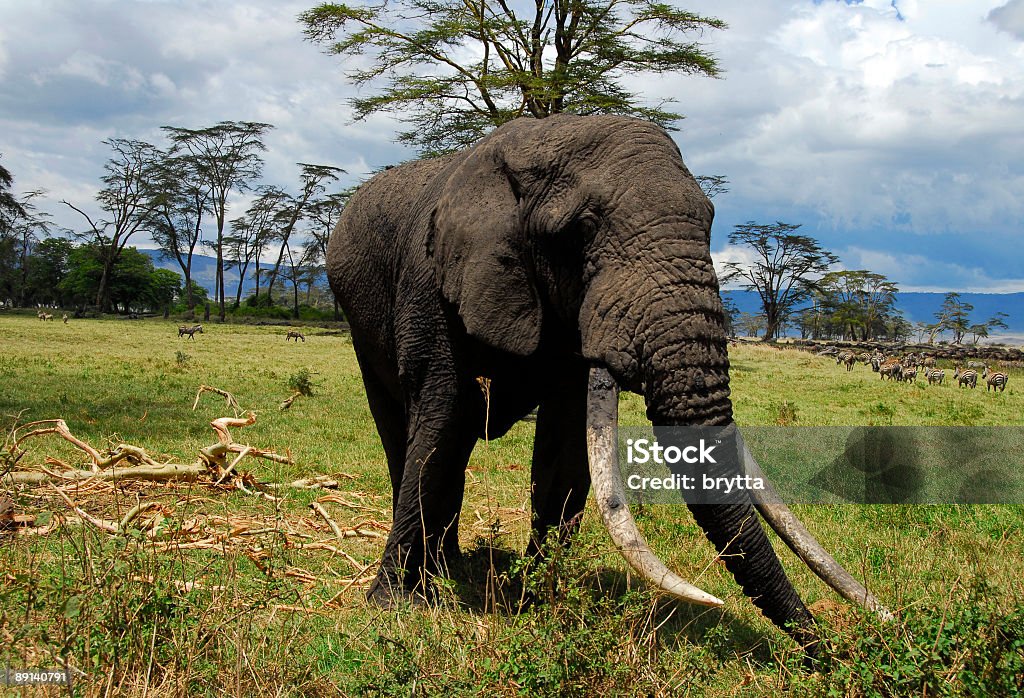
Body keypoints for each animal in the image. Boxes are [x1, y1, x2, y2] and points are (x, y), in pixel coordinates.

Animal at [327, 111, 888, 650]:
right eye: (581, 230)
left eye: (710, 221)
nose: (831, 650)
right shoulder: (432, 285)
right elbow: (437, 428)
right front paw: (394, 608)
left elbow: (566, 448)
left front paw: (535, 600)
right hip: (359, 323)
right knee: (407, 436)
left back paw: (454, 568)